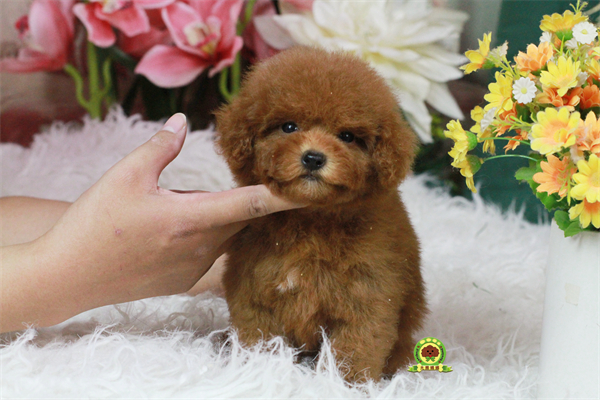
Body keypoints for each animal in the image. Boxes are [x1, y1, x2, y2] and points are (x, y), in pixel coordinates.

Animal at [215, 47, 427, 382]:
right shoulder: (254, 286)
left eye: (348, 136)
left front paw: (343, 383)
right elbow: (258, 334)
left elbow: (356, 345)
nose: (313, 158)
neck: (312, 220)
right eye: (289, 127)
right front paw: (259, 369)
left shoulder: (369, 293)